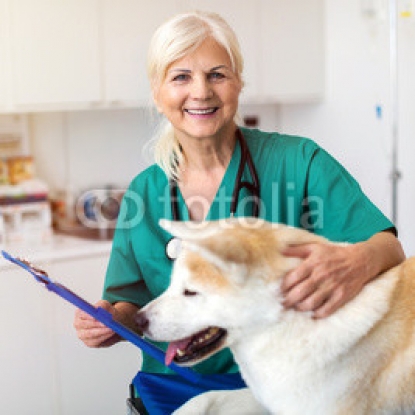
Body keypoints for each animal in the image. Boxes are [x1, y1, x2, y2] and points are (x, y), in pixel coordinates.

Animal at [135, 219, 414, 414]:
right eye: (172, 285)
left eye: (190, 292)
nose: (139, 320)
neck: (287, 325)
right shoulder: (271, 395)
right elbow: (206, 395)